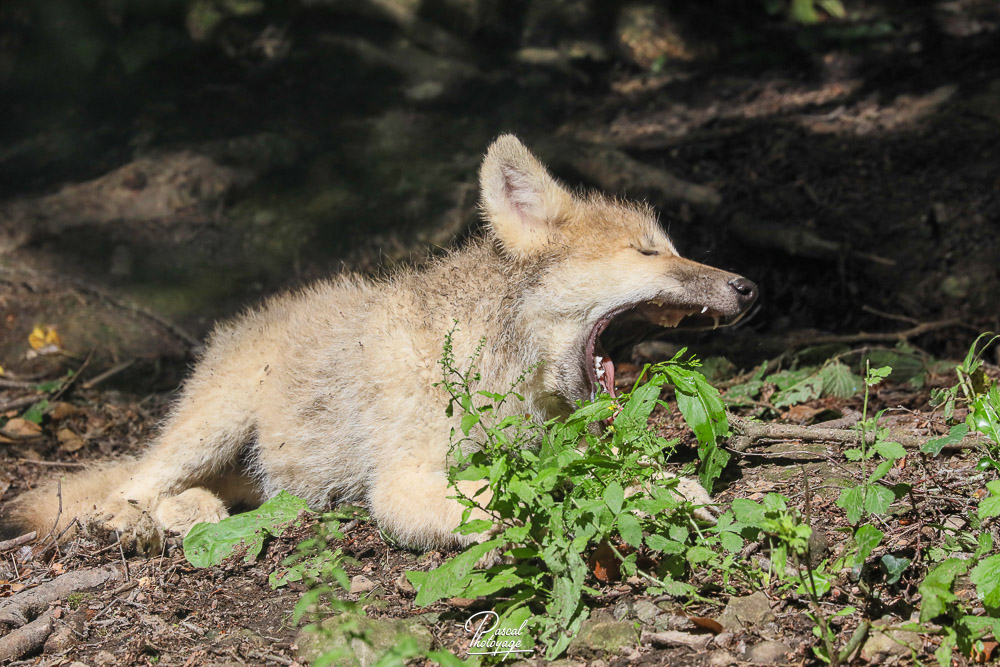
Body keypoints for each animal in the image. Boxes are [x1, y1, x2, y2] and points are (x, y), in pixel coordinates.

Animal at [1, 135, 756, 552]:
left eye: (672, 247)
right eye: (648, 252)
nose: (748, 288)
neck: (491, 360)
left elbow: (594, 474)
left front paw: (668, 489)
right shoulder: (401, 484)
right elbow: (539, 495)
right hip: (213, 423)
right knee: (124, 492)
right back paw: (158, 520)